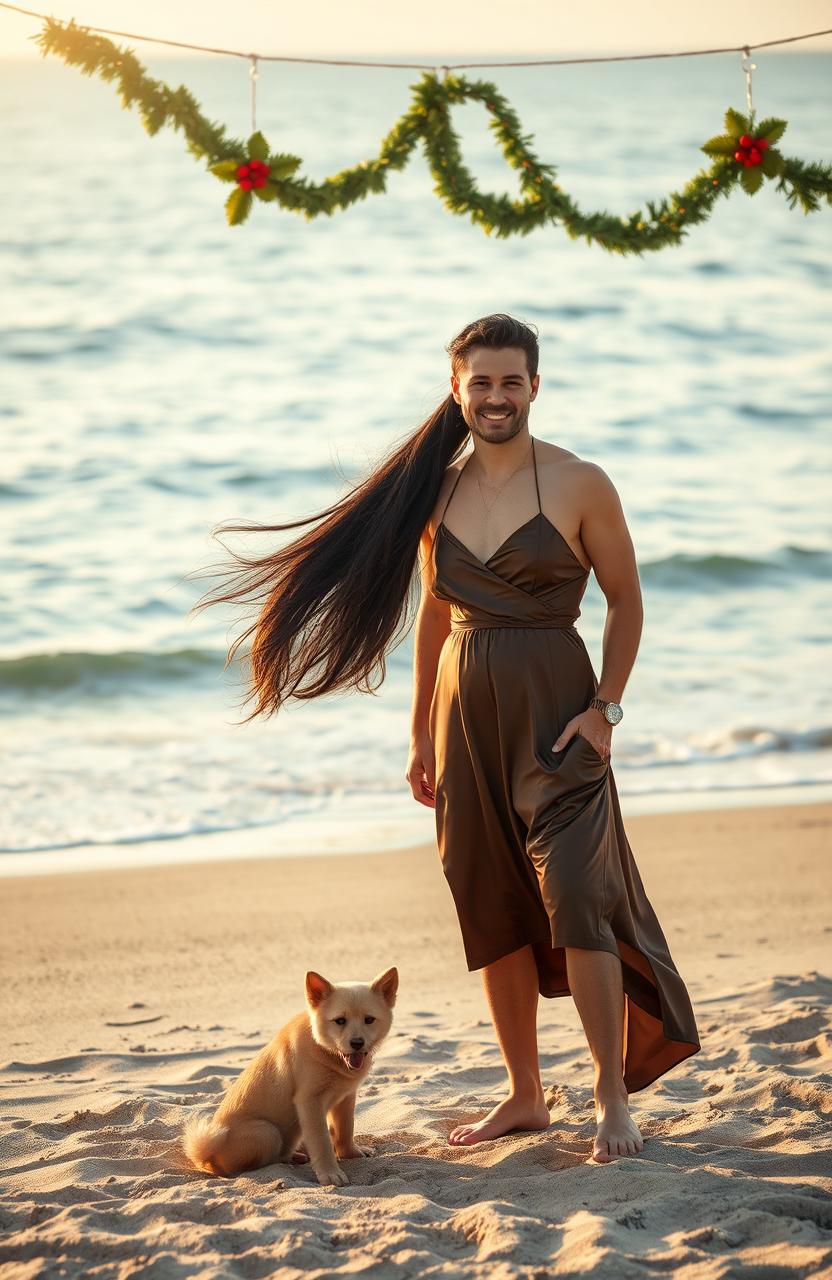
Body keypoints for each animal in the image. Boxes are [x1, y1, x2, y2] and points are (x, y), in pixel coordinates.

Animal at [181, 962, 394, 1182]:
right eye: (340, 1021)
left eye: (369, 1020)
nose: (357, 1043)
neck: (324, 1048)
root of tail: (209, 1157)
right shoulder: (309, 1102)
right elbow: (322, 1142)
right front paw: (330, 1174)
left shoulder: (345, 1098)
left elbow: (345, 1130)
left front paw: (351, 1154)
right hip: (267, 1132)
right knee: (265, 1161)